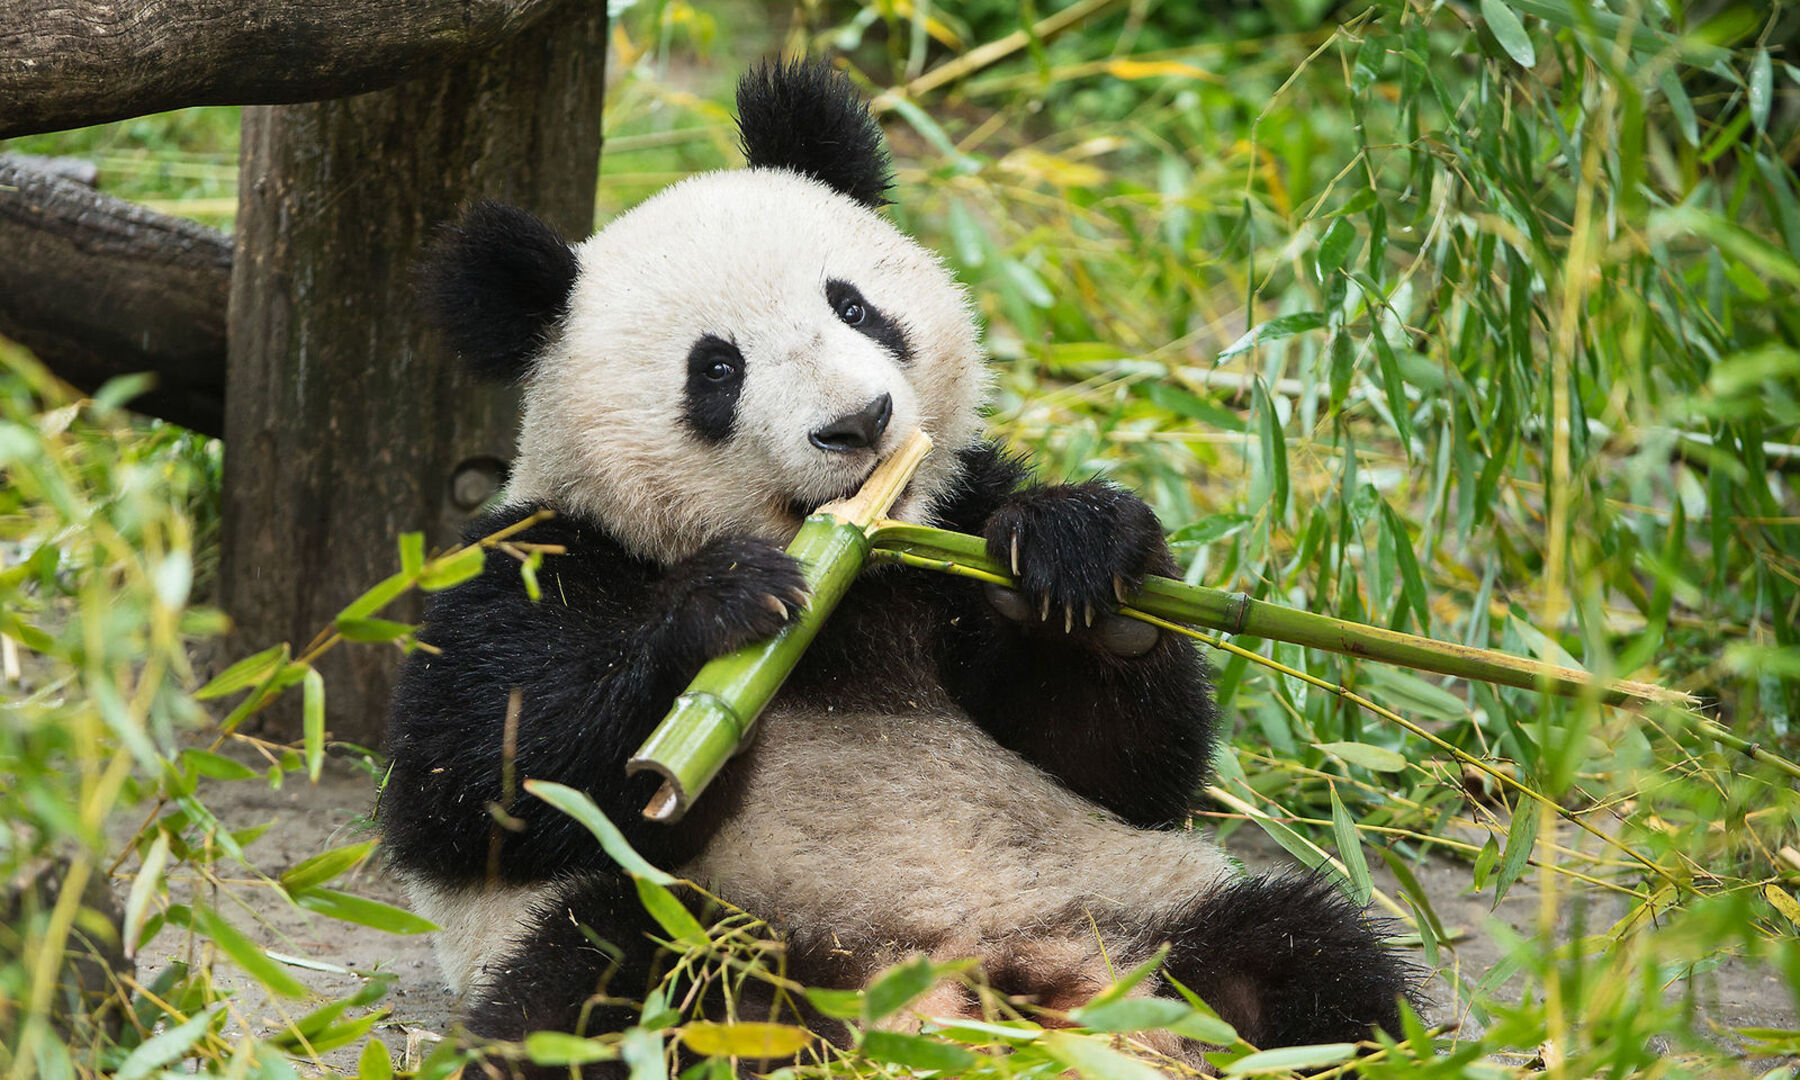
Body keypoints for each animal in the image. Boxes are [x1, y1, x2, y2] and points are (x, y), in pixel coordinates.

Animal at [380, 58, 1417, 1072]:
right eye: (716, 370)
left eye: (854, 306)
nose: (860, 421)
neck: (854, 577)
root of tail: (965, 1001)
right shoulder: (532, 561)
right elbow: (474, 785)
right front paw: (721, 607)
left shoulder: (955, 538)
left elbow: (1121, 767)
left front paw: (1078, 556)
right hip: (726, 927)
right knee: (597, 984)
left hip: (1138, 906)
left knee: (1309, 956)